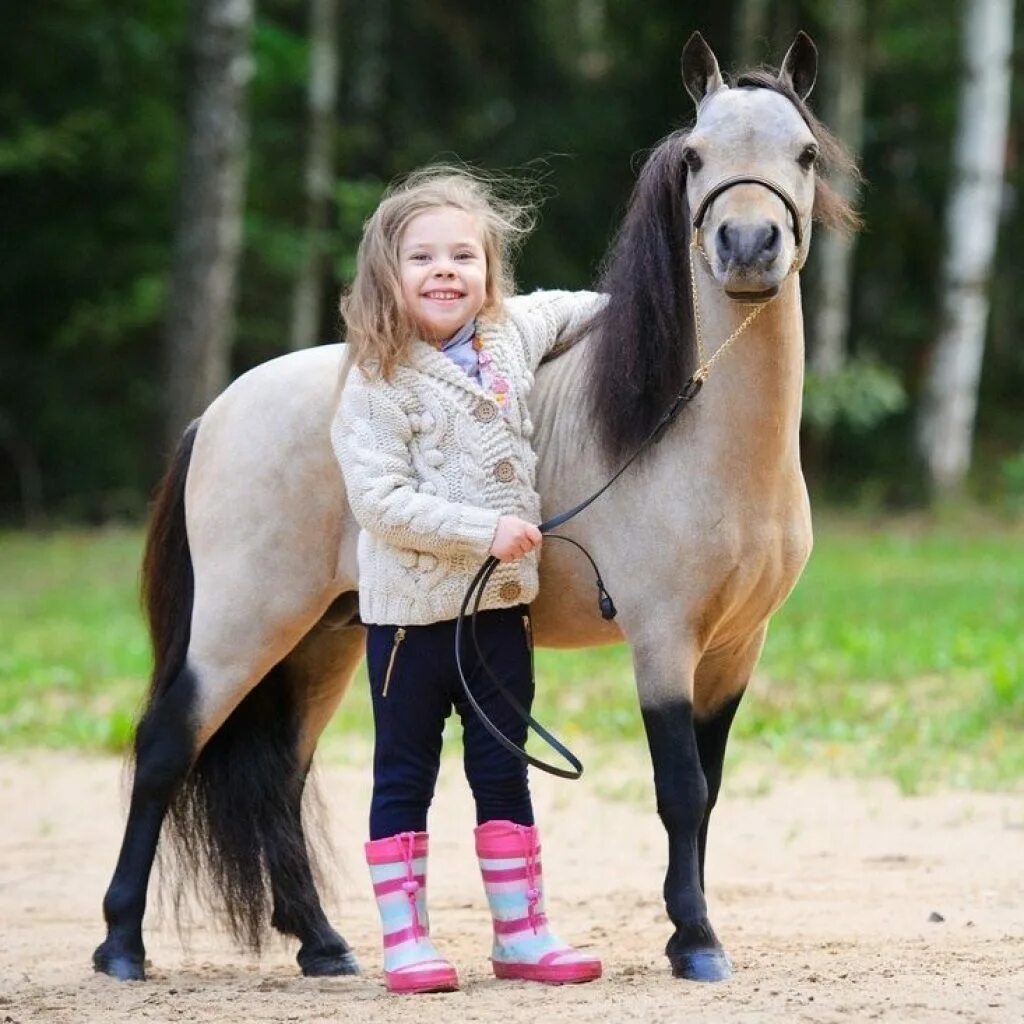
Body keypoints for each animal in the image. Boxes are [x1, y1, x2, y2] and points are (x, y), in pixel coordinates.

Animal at [96, 34, 860, 983]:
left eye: (804, 154)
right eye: (695, 157)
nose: (748, 244)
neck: (690, 435)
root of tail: (220, 411)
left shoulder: (733, 649)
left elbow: (710, 791)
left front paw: (693, 930)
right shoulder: (664, 643)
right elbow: (680, 791)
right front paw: (696, 942)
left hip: (324, 640)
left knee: (279, 774)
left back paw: (323, 944)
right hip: (242, 626)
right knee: (168, 745)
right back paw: (121, 944)